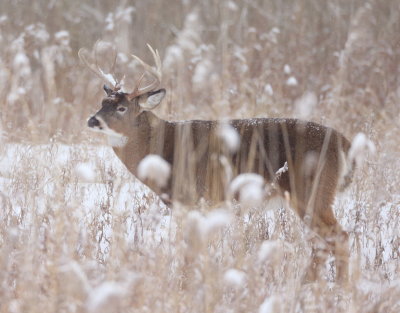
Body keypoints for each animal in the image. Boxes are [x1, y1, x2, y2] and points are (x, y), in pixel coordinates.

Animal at [79, 43, 354, 282]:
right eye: (103, 103)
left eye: (122, 108)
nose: (92, 120)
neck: (162, 148)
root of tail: (344, 141)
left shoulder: (195, 197)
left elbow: (191, 249)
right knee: (323, 243)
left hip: (313, 191)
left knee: (337, 237)